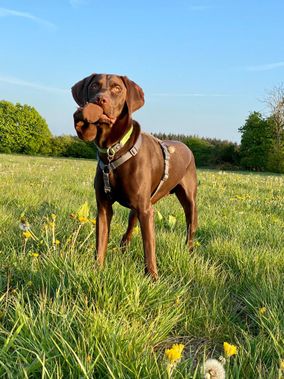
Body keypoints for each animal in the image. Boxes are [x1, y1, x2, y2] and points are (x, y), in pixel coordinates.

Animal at [71, 75, 197, 282]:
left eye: (117, 88)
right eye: (95, 85)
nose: (100, 99)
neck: (113, 150)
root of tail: (186, 146)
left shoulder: (146, 211)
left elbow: (149, 246)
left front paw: (152, 278)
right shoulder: (104, 207)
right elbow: (101, 242)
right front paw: (97, 270)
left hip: (189, 202)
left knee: (190, 227)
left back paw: (190, 250)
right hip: (138, 207)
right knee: (129, 229)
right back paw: (123, 248)